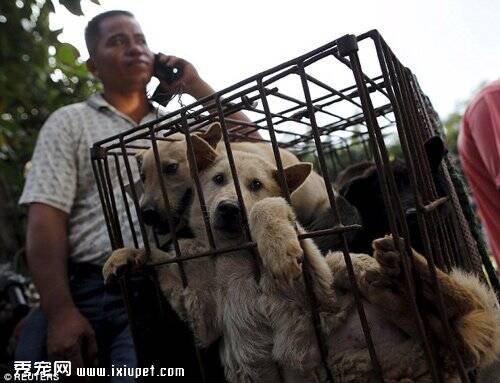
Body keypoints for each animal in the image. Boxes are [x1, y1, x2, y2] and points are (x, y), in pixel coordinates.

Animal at [103, 134, 498, 380]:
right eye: (216, 180)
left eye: (256, 185)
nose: (229, 209)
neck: (234, 256)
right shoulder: (202, 319)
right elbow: (167, 272)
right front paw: (129, 256)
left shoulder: (316, 285)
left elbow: (272, 209)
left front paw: (277, 246)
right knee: (440, 330)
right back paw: (401, 285)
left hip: (341, 263)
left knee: (461, 313)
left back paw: (408, 271)